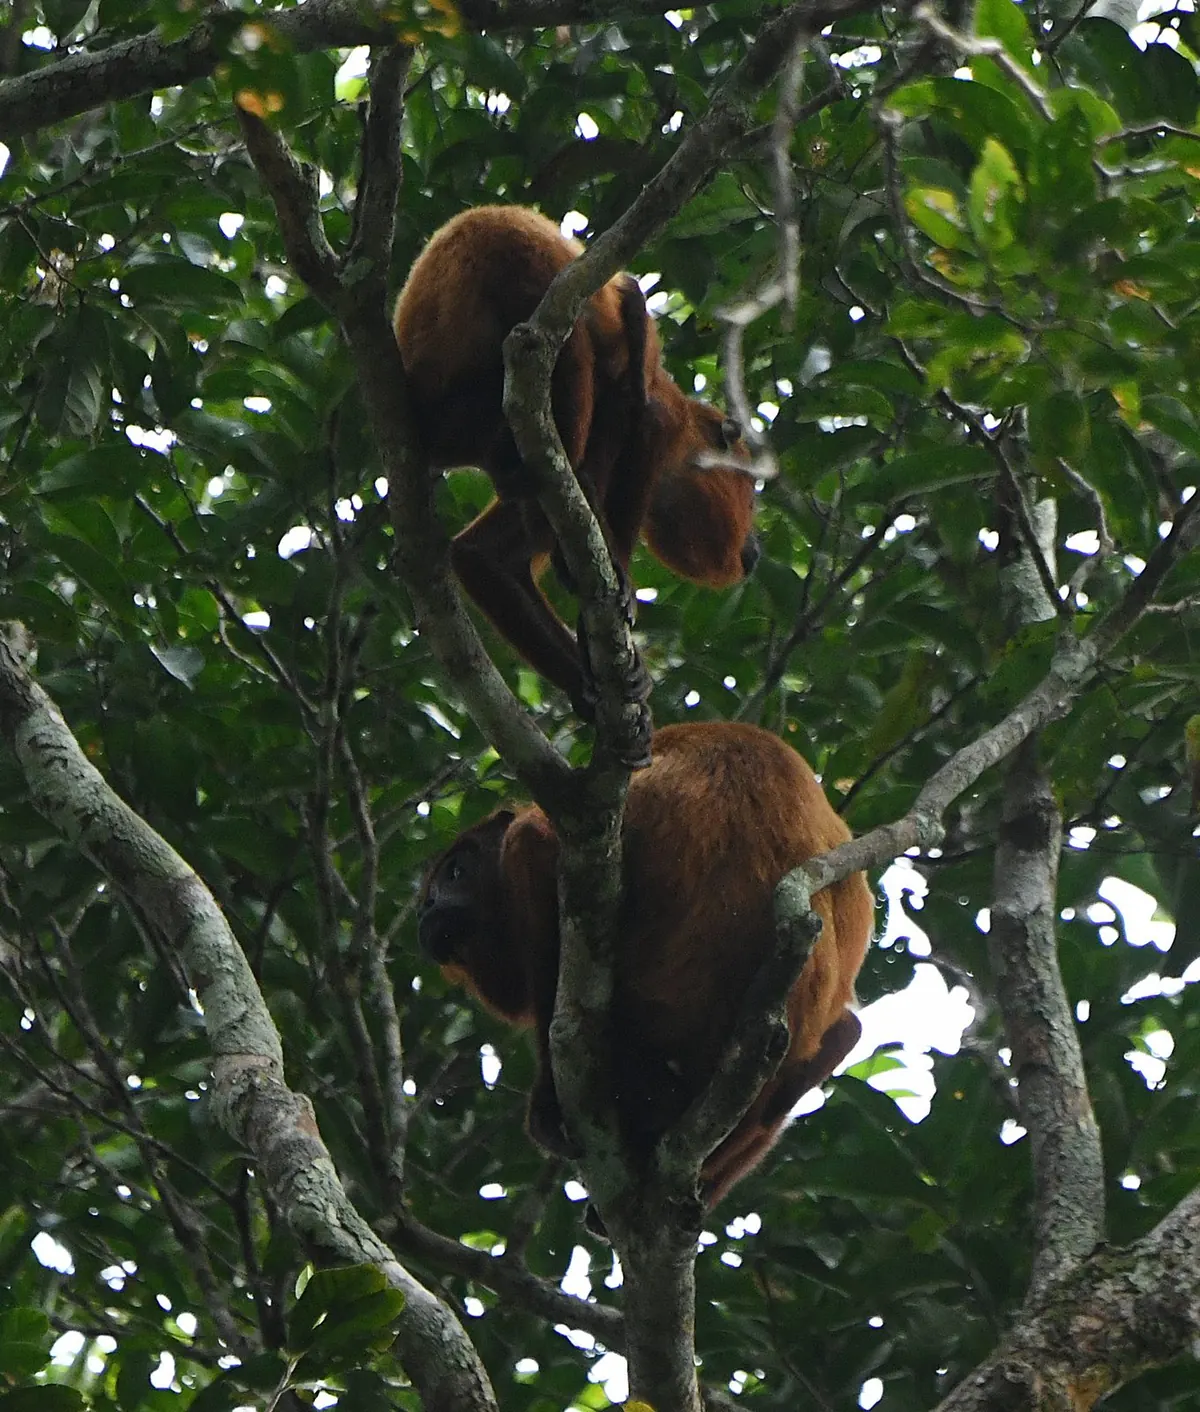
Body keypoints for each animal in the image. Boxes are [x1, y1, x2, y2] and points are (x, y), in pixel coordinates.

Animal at [393, 206, 759, 726]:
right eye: (752, 495)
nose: (756, 548)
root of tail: (486, 231)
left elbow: (482, 558)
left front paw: (589, 683)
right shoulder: (667, 425)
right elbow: (642, 413)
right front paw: (616, 584)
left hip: (454, 416)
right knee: (603, 348)